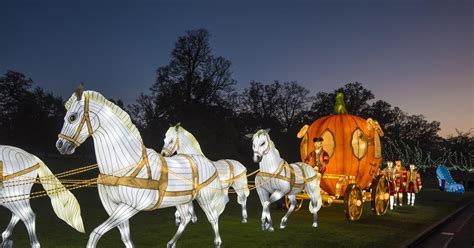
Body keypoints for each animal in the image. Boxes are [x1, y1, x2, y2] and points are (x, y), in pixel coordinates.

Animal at [55, 86, 226, 247]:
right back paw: (171, 243)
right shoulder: (113, 206)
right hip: (181, 200)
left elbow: (95, 234)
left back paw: (217, 242)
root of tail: (208, 162)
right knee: (186, 218)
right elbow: (126, 238)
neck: (125, 165)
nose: (60, 145)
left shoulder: (130, 206)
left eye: (72, 117)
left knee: (213, 218)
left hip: (204, 199)